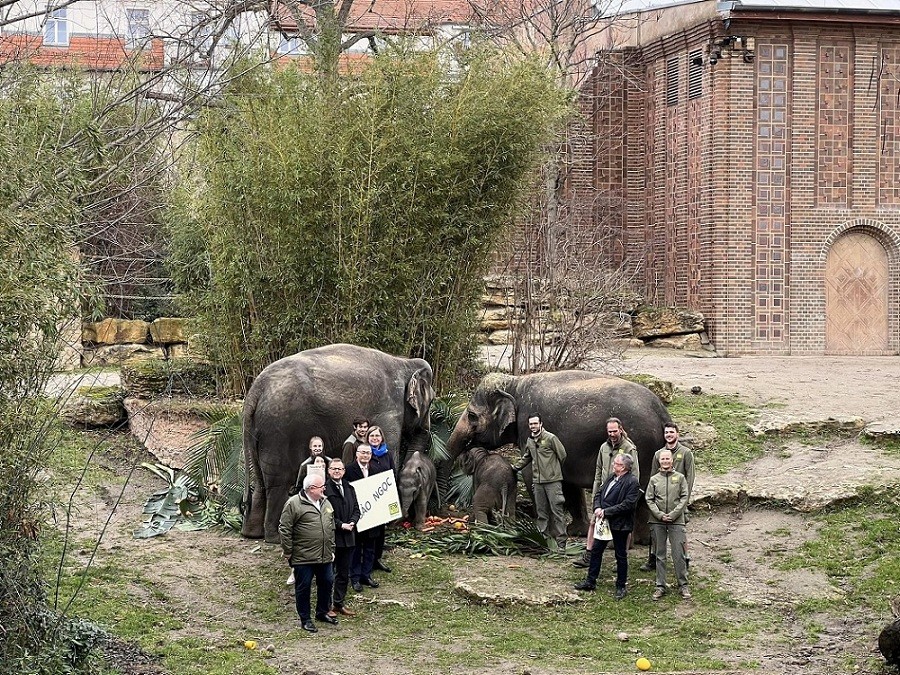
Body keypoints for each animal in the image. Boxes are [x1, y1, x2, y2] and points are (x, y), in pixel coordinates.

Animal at [241, 346, 434, 540]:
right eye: (431, 401)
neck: (404, 361)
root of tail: (255, 389)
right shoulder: (390, 412)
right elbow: (387, 458)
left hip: (259, 431)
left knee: (261, 480)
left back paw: (252, 534)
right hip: (279, 429)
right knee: (279, 483)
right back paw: (275, 537)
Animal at [446, 370, 672, 544]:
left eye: (472, 416)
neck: (515, 383)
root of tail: (662, 412)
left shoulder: (528, 427)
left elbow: (531, 475)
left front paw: (545, 533)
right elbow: (569, 483)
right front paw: (575, 531)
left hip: (641, 447)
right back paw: (644, 541)